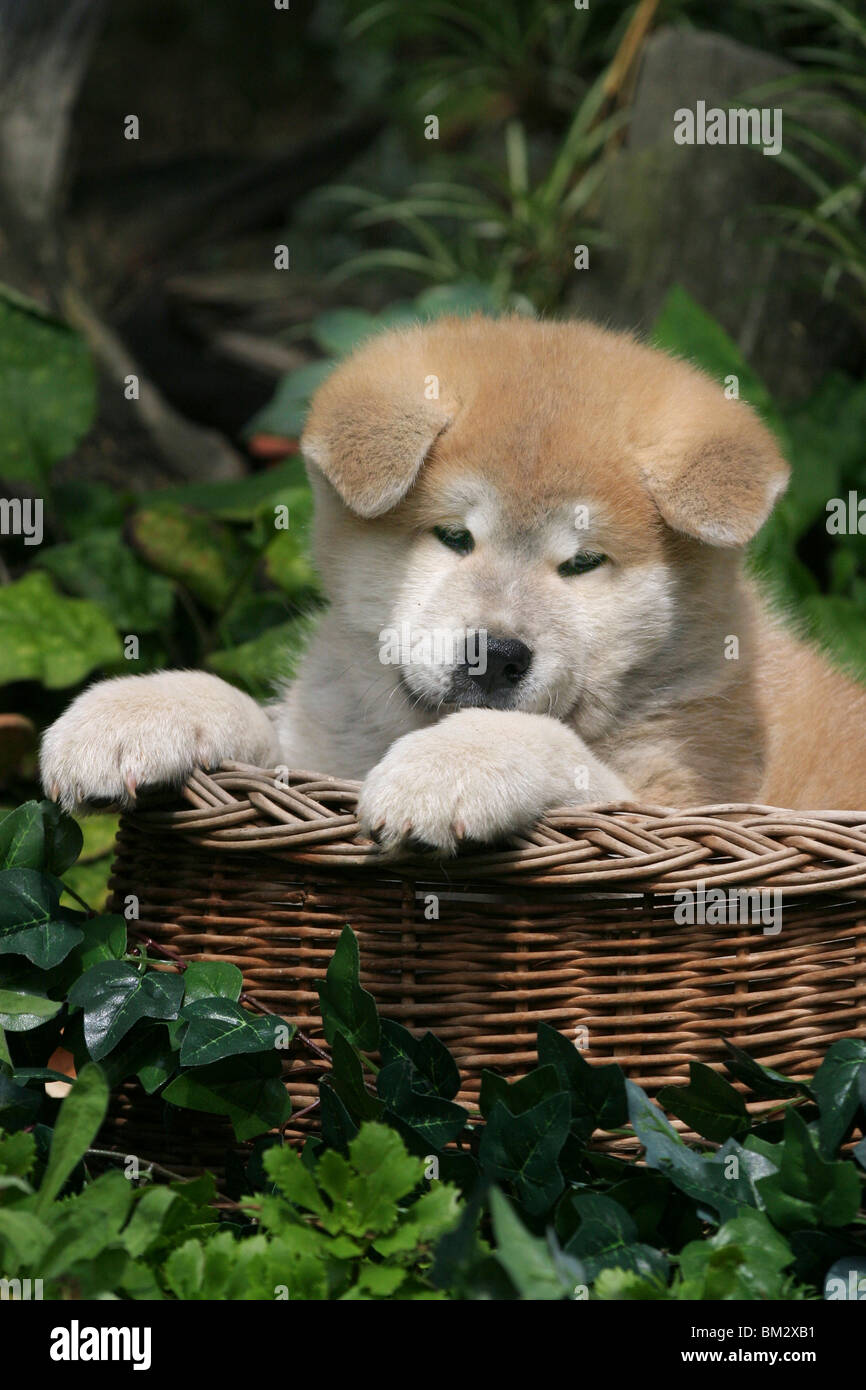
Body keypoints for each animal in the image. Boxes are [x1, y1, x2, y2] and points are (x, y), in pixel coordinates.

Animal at [40, 318, 866, 850]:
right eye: (454, 537)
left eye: (582, 563)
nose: (493, 656)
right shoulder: (321, 752)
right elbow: (245, 710)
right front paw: (138, 710)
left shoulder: (681, 805)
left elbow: (545, 740)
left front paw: (451, 765)